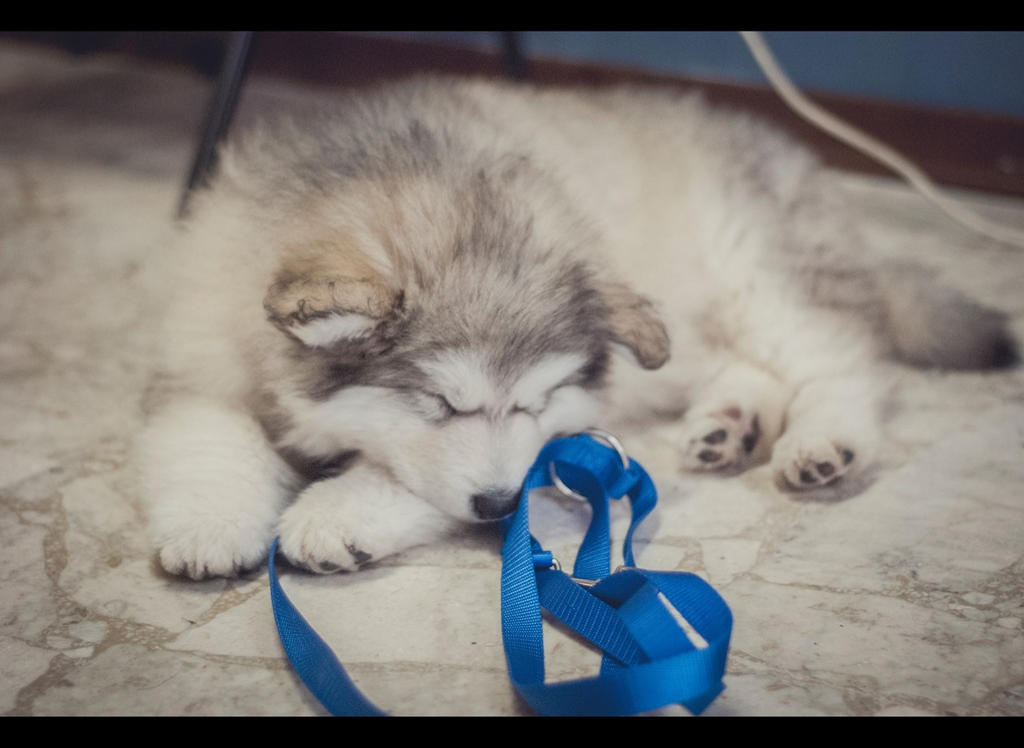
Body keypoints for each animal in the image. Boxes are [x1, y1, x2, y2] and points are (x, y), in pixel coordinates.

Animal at [134, 75, 1015, 577]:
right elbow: (209, 435)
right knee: (754, 365)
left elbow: (405, 477)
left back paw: (823, 443)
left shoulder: (564, 433)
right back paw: (729, 425)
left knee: (842, 364)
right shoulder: (204, 351)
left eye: (532, 402)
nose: (496, 507)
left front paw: (338, 511)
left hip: (757, 267)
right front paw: (212, 522)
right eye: (442, 403)